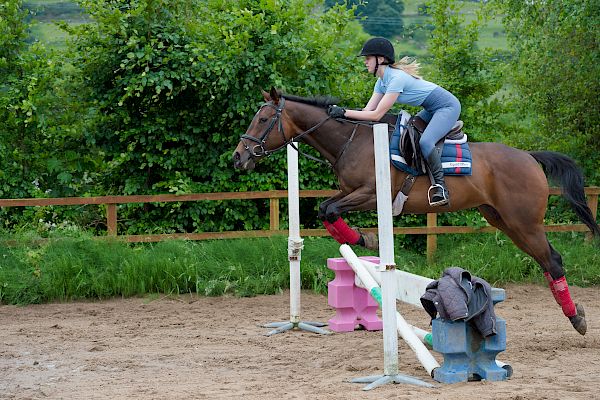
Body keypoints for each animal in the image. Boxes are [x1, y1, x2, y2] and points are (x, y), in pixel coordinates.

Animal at [232, 86, 596, 334]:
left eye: (263, 119)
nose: (238, 157)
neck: (352, 141)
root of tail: (530, 158)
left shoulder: (369, 194)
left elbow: (330, 209)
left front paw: (365, 240)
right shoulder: (350, 191)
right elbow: (326, 208)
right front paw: (362, 239)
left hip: (524, 222)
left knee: (553, 259)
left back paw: (577, 319)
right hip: (504, 221)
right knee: (545, 261)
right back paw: (574, 314)